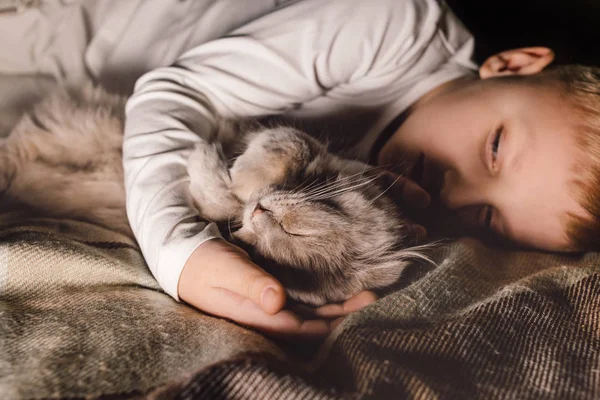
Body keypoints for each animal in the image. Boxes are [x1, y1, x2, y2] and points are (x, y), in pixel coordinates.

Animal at [0, 86, 432, 306]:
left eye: (266, 256)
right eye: (295, 231)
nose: (259, 212)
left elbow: (218, 200)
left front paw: (218, 173)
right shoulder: (297, 142)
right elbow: (287, 144)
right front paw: (240, 175)